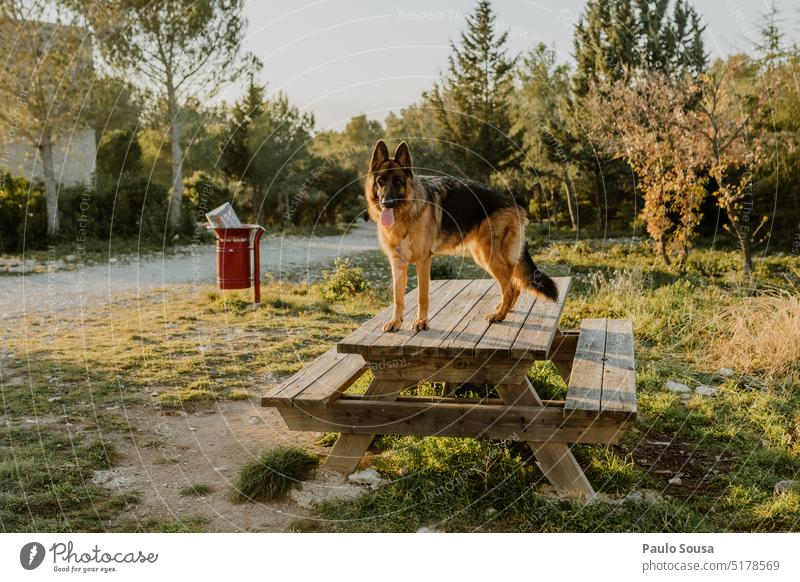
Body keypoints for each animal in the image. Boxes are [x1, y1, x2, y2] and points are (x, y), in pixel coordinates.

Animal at [364, 140, 556, 334]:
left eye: (398, 182)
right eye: (381, 182)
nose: (387, 203)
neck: (406, 213)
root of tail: (515, 202)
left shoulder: (423, 261)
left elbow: (422, 296)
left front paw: (421, 322)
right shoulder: (397, 263)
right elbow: (398, 298)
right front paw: (396, 322)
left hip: (491, 256)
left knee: (513, 288)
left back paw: (499, 315)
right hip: (484, 256)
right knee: (511, 286)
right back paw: (502, 309)